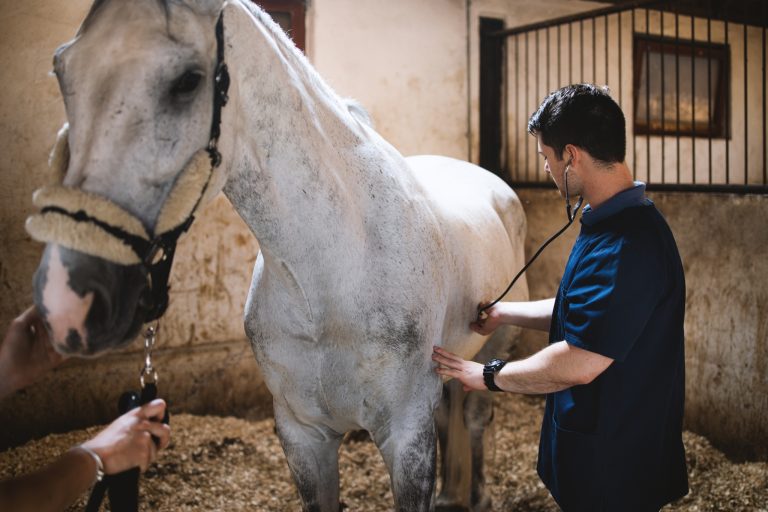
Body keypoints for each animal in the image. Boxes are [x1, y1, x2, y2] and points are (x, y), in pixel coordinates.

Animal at [26, 0, 528, 510]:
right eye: (61, 69)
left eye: (187, 80)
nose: (66, 302)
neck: (331, 273)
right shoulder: (302, 435)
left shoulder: (406, 435)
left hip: (492, 348)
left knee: (473, 416)